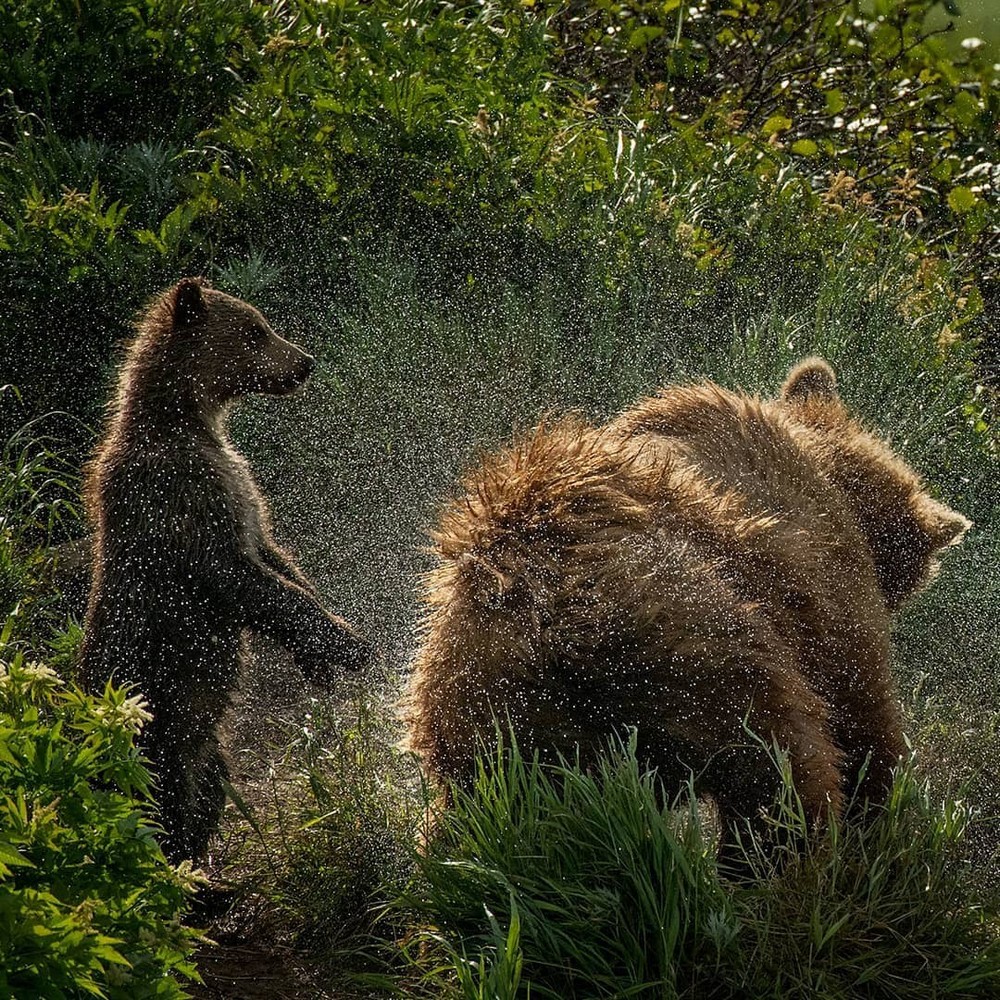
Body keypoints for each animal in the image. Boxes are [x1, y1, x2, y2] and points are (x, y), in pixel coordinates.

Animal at [81, 280, 372, 860]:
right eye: (256, 330)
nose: (305, 362)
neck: (188, 421)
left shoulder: (239, 489)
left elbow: (274, 556)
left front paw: (322, 653)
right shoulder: (182, 498)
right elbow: (242, 578)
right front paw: (351, 645)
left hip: (206, 742)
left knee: (206, 791)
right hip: (154, 731)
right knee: (161, 811)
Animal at [404, 358, 968, 852]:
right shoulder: (831, 597)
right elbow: (865, 720)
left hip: (484, 714)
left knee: (480, 811)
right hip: (702, 636)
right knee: (777, 766)